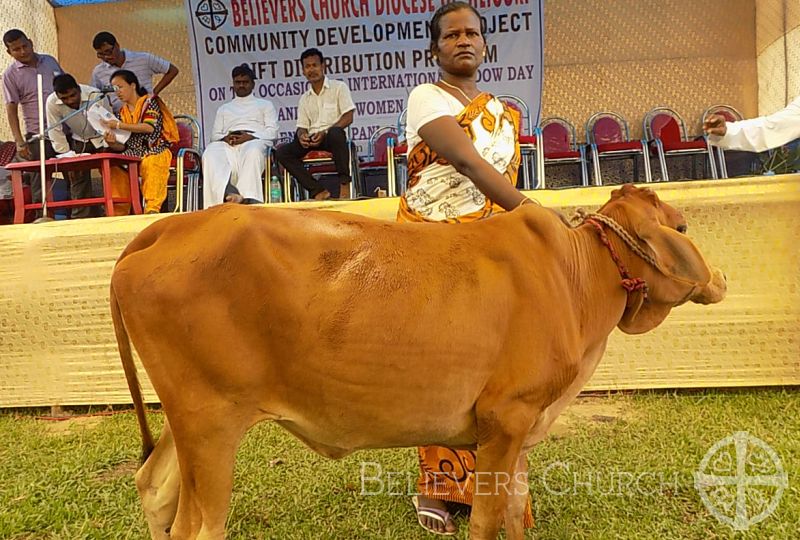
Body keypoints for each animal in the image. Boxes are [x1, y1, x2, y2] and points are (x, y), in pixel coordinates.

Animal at [109, 184, 728, 536]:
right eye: (682, 227)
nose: (721, 278)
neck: (575, 277)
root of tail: (171, 225)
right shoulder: (506, 419)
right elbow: (487, 520)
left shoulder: (524, 429)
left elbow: (514, 514)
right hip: (210, 424)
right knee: (196, 527)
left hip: (189, 419)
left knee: (153, 487)